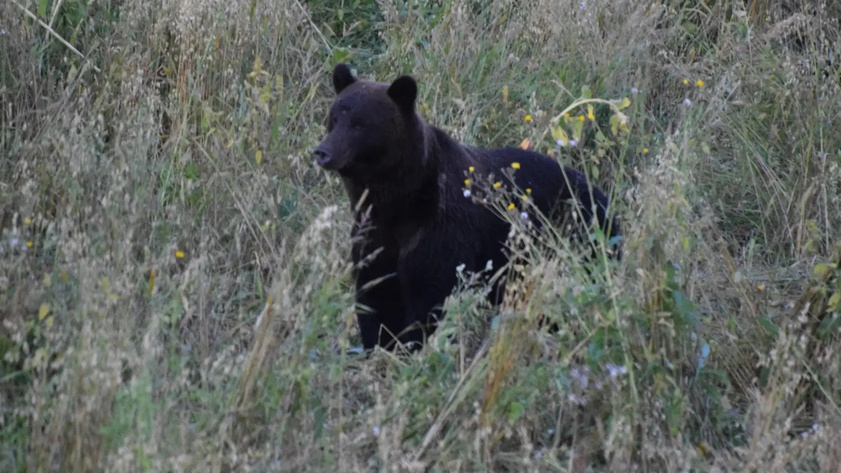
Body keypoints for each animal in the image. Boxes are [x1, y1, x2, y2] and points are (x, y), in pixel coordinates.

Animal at [313, 63, 620, 352]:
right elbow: (375, 293)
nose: (323, 152)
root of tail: (602, 194)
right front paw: (379, 346)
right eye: (335, 117)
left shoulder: (441, 229)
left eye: (359, 123)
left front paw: (412, 347)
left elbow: (430, 295)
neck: (398, 200)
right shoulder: (373, 232)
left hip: (578, 238)